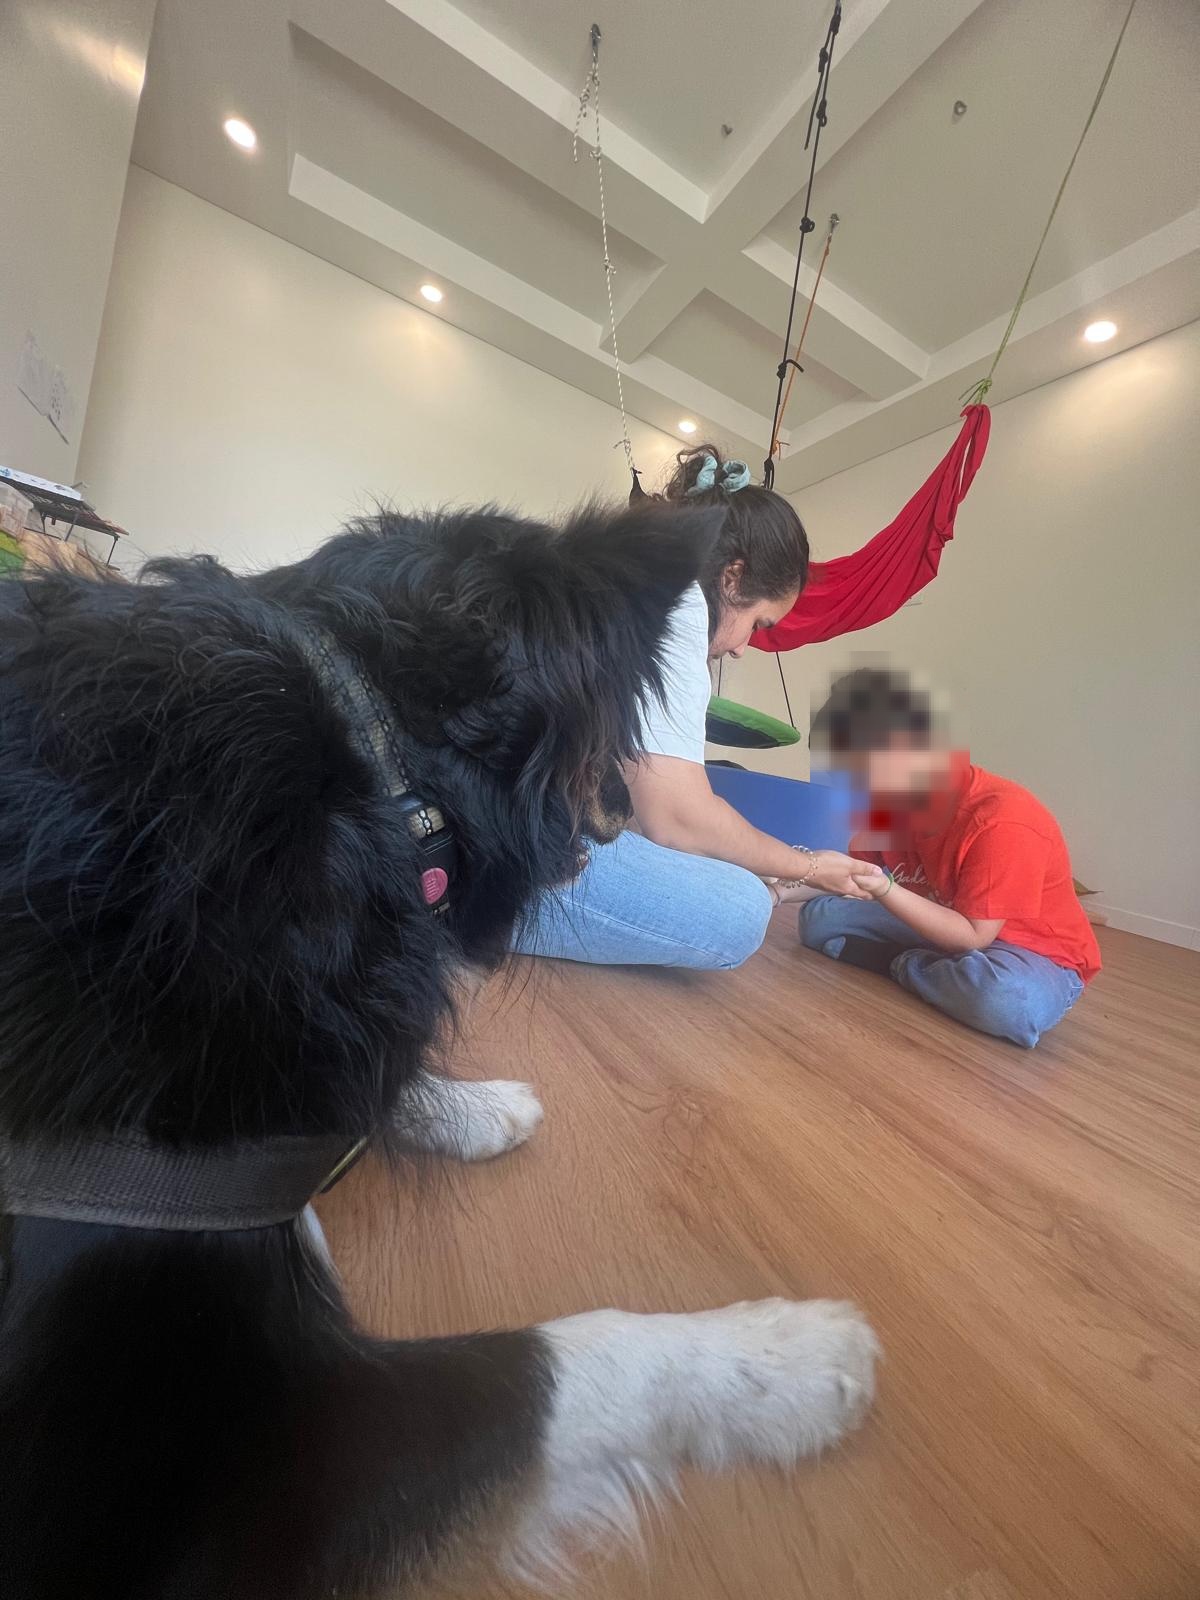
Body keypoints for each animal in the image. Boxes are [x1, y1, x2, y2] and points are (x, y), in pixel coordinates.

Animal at [0, 502, 878, 1598]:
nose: (620, 817)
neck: (371, 768)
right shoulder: (264, 1471)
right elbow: (564, 1357)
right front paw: (782, 1355)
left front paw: (472, 1108)